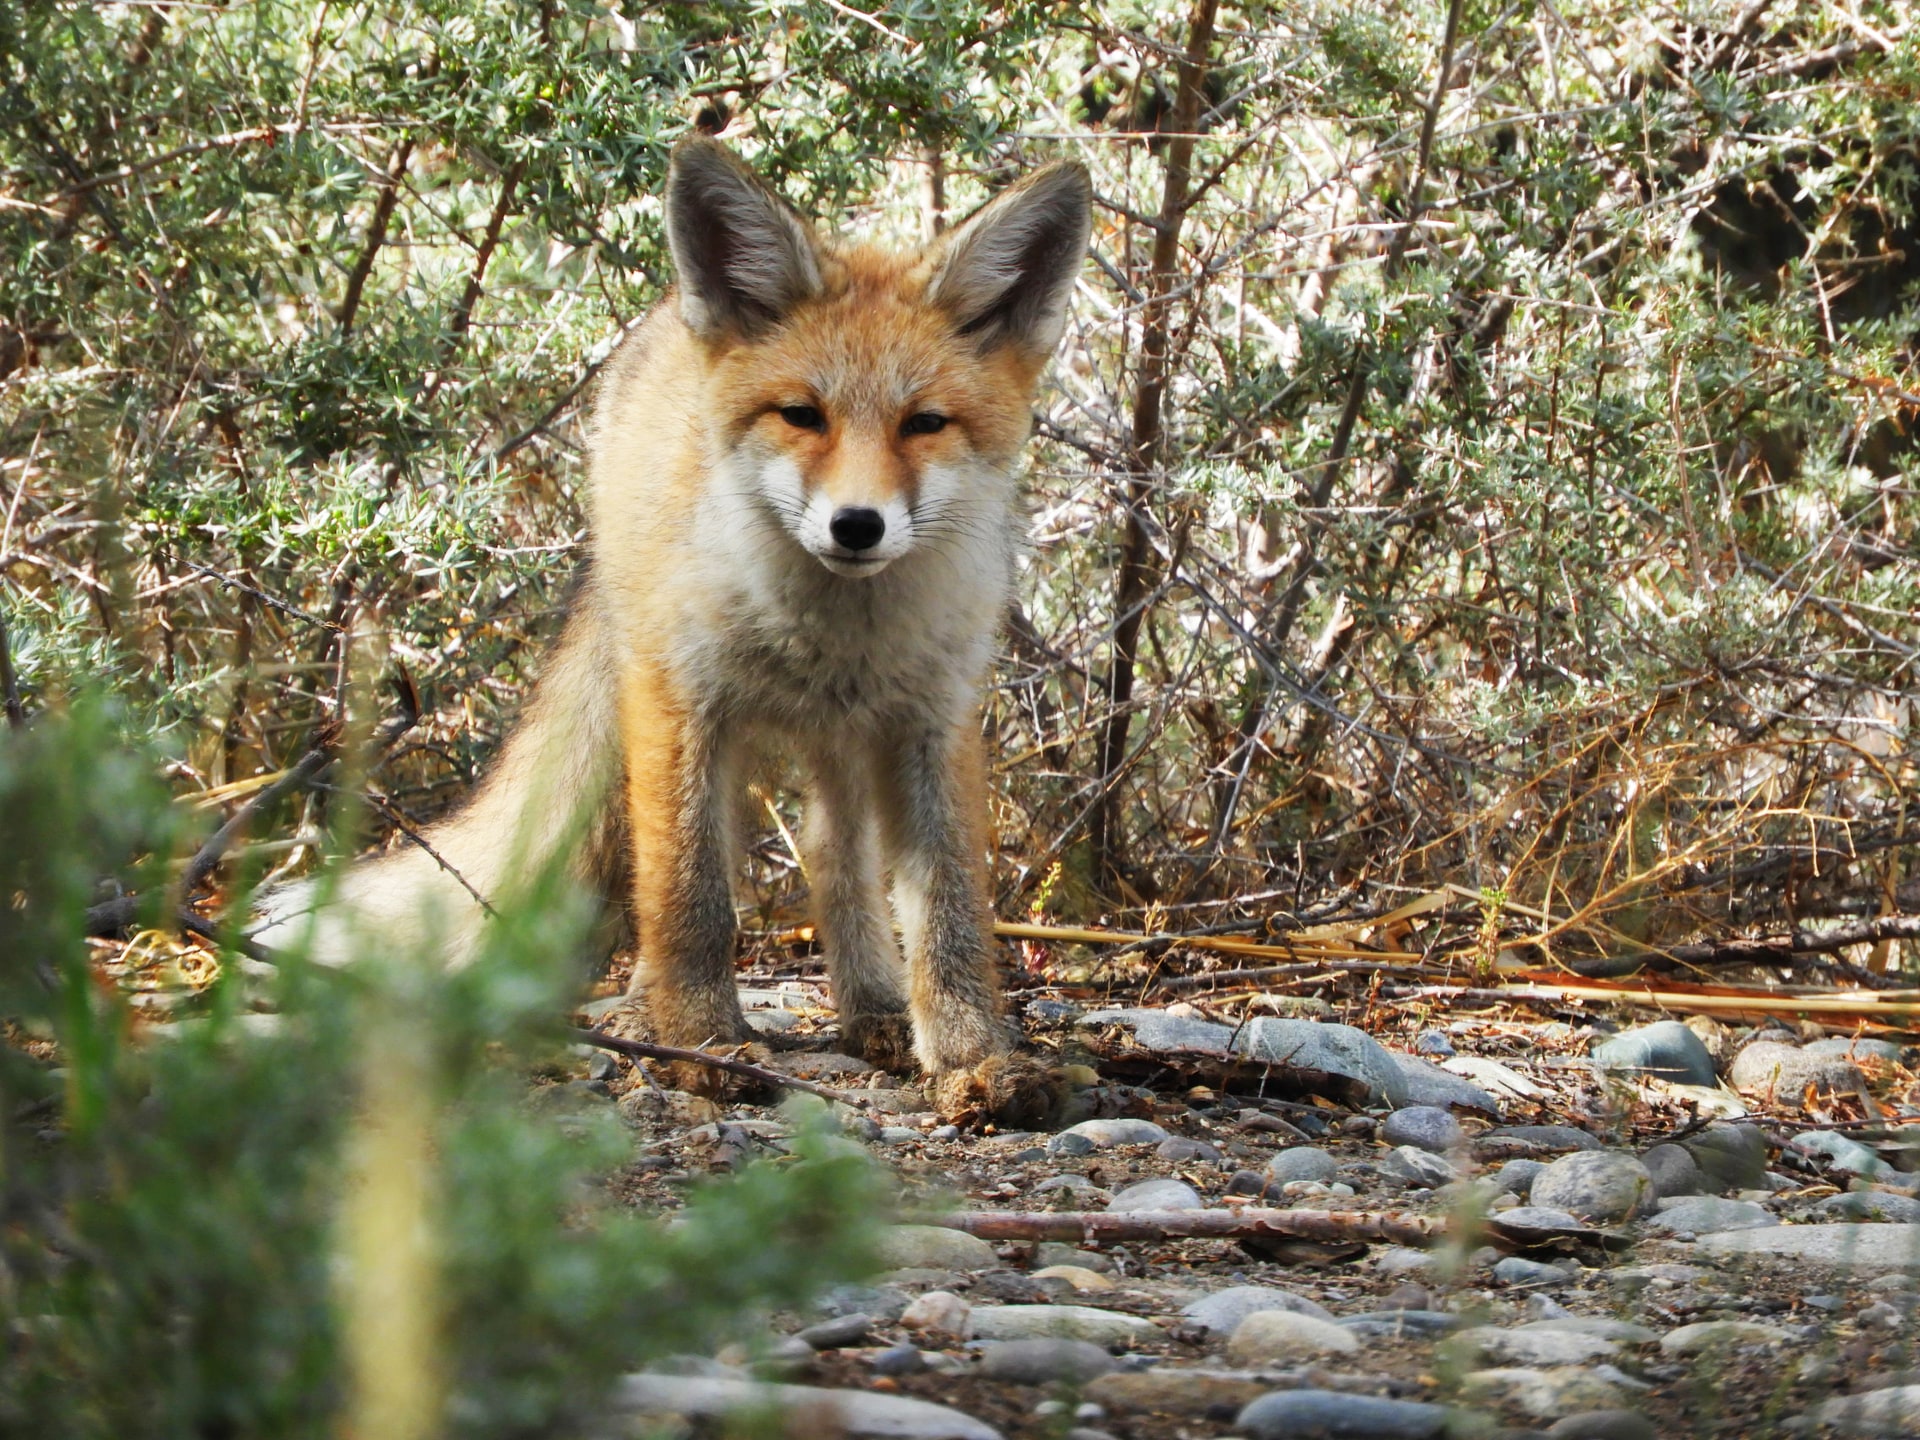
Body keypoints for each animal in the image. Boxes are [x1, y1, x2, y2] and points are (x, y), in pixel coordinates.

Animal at [253, 138, 1092, 1115]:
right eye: (802, 415)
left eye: (924, 424)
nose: (856, 526)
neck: (826, 636)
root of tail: (661, 319)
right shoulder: (680, 702)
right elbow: (691, 896)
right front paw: (703, 1045)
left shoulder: (933, 720)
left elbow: (952, 911)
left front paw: (972, 1059)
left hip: (845, 743)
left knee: (832, 857)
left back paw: (873, 1008)